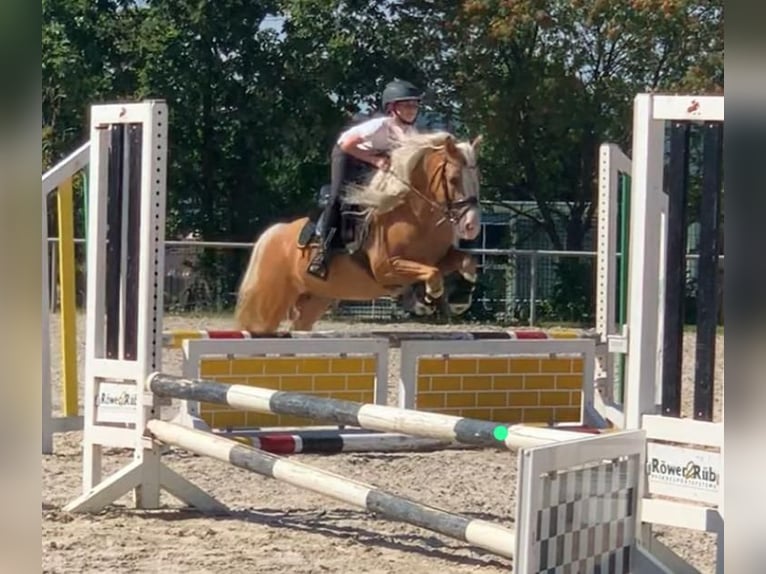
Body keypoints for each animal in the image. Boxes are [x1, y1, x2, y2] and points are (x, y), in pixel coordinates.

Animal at [237, 131, 484, 336]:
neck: (416, 215)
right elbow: (433, 273)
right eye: (453, 179)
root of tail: (272, 234)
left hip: (315, 299)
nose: (472, 226)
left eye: (477, 181)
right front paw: (426, 299)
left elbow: (463, 261)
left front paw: (460, 295)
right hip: (273, 299)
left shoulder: (438, 258)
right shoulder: (387, 268)